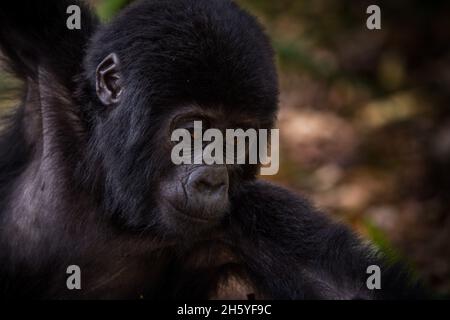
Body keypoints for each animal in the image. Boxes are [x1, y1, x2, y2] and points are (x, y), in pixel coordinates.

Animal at [0, 0, 422, 300]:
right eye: (193, 129)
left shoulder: (254, 218)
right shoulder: (56, 61)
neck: (112, 200)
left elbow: (344, 290)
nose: (213, 180)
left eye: (237, 139)